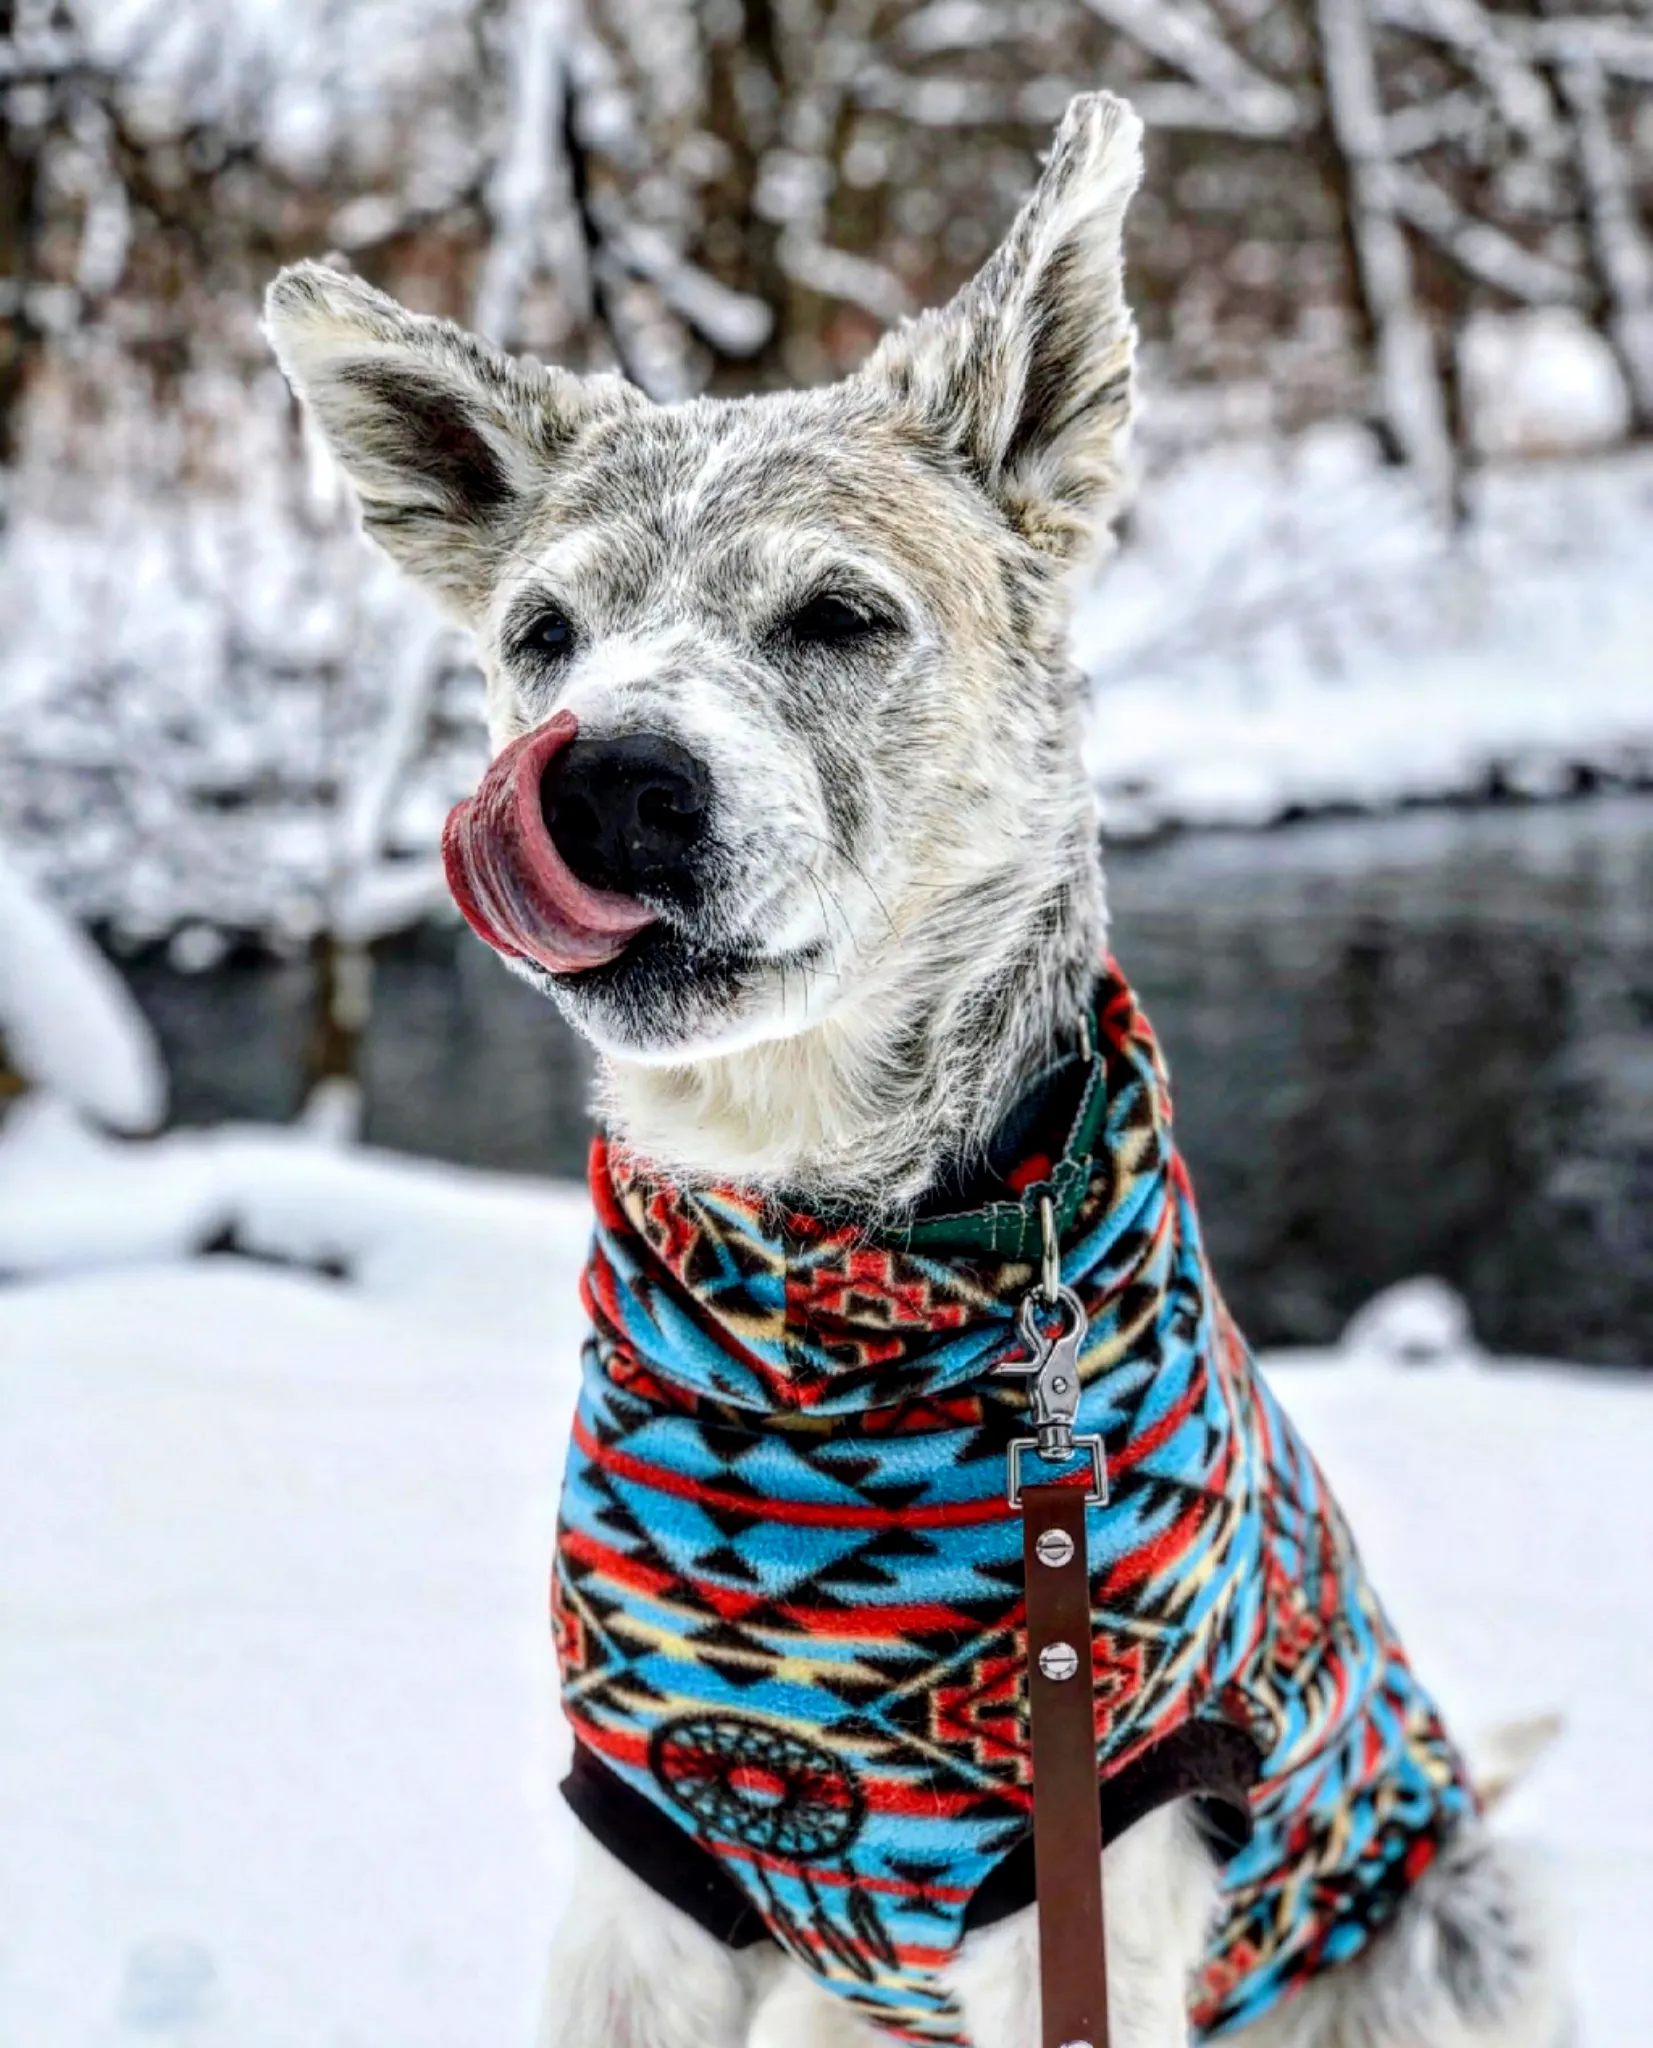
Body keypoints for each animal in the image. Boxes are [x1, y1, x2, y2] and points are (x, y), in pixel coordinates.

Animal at [268, 92, 1564, 2048]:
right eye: (545, 634)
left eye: (835, 616)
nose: (606, 781)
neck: (826, 1300)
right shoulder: (651, 1847)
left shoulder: (1092, 1861)